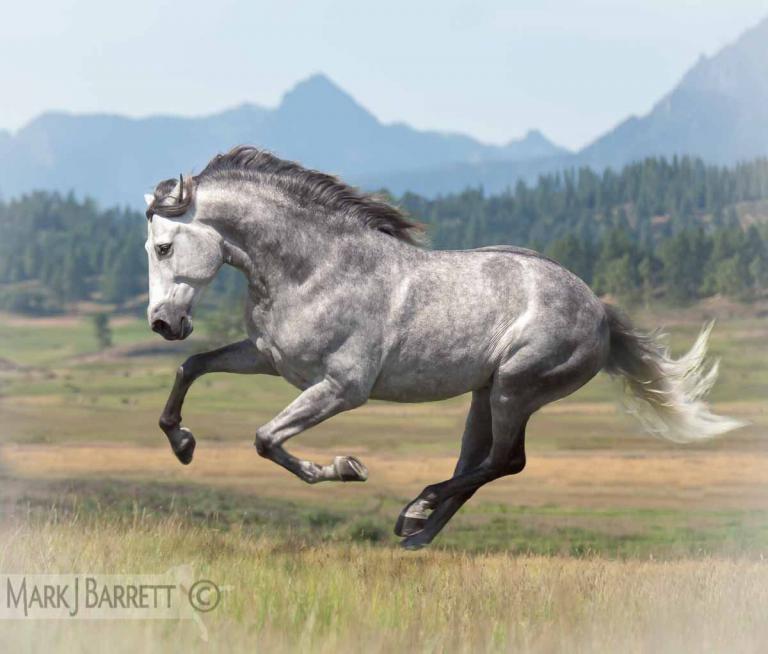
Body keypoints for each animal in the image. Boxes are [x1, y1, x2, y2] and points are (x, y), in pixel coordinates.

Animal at [144, 146, 743, 549]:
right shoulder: (269, 358)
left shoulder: (341, 388)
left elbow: (266, 439)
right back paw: (417, 529)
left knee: (507, 460)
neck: (314, 268)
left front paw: (345, 468)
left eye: (164, 246)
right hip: (484, 395)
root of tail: (599, 309)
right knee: (479, 462)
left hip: (515, 388)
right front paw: (183, 443)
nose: (163, 323)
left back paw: (417, 510)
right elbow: (193, 366)